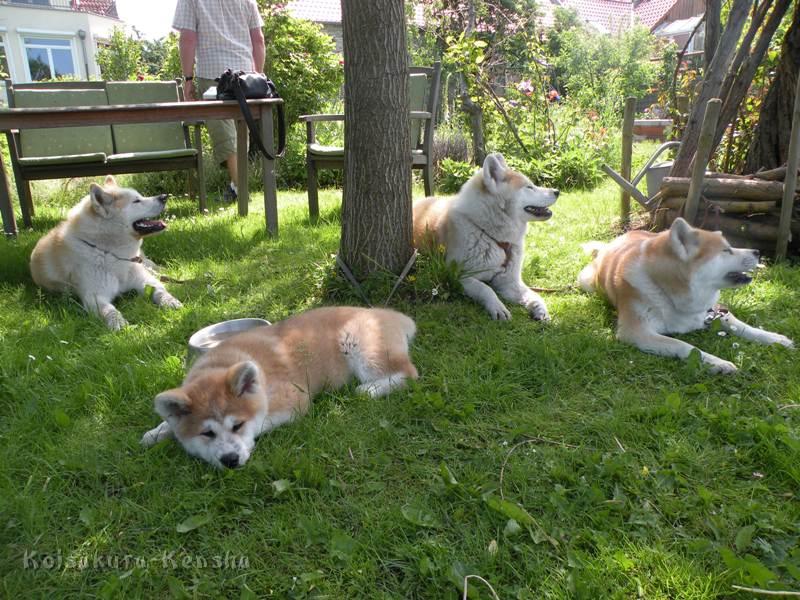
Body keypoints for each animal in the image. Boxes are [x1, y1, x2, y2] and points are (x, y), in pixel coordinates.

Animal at [30, 176, 182, 330]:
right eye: (136, 201)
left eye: (140, 197)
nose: (164, 196)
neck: (110, 252)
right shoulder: (95, 297)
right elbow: (109, 310)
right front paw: (118, 322)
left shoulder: (146, 280)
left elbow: (160, 290)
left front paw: (170, 301)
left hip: (144, 263)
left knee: (154, 267)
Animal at [141, 310, 418, 468]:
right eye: (207, 433)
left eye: (237, 426)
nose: (230, 460)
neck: (221, 363)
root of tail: (390, 313)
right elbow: (169, 424)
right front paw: (158, 432)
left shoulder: (294, 399)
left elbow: (261, 420)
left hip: (361, 347)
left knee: (409, 373)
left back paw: (370, 390)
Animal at [416, 152, 560, 322]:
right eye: (529, 187)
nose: (557, 191)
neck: (490, 234)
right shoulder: (459, 277)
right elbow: (485, 288)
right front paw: (498, 307)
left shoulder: (509, 282)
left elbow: (534, 295)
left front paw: (541, 309)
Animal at [580, 216, 792, 376]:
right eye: (726, 250)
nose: (758, 251)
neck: (667, 291)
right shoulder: (635, 331)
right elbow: (685, 346)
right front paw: (717, 362)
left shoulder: (714, 311)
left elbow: (742, 326)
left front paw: (774, 338)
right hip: (585, 282)